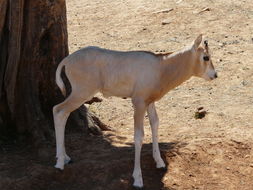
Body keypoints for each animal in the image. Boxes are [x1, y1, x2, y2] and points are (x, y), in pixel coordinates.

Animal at [52, 34, 217, 189]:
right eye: (206, 57)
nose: (215, 75)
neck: (161, 66)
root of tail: (67, 60)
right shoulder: (138, 103)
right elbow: (139, 136)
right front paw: (138, 179)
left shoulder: (149, 102)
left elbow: (155, 124)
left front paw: (159, 162)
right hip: (82, 93)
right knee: (58, 110)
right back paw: (59, 163)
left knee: (62, 112)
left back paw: (65, 157)